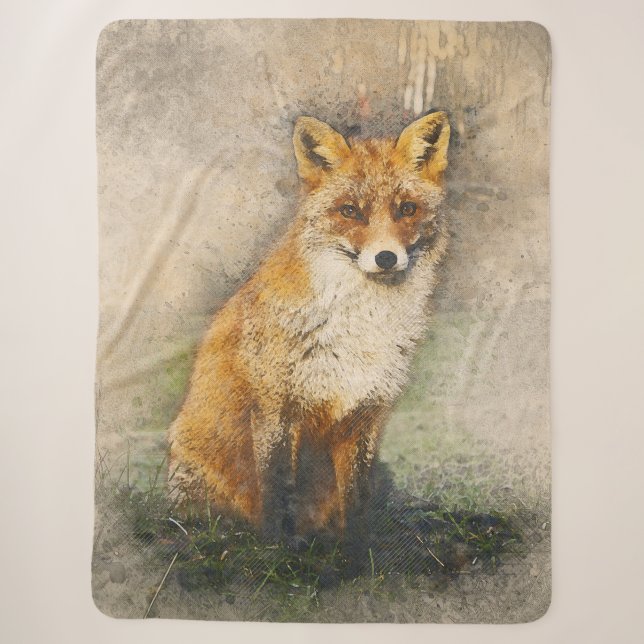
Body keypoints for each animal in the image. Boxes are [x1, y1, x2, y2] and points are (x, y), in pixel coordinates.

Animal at [168, 111, 451, 543]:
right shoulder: (275, 408)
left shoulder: (365, 414)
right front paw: (279, 547)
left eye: (407, 209)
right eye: (350, 211)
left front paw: (359, 547)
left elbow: (356, 495)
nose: (386, 257)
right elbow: (278, 486)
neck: (361, 326)